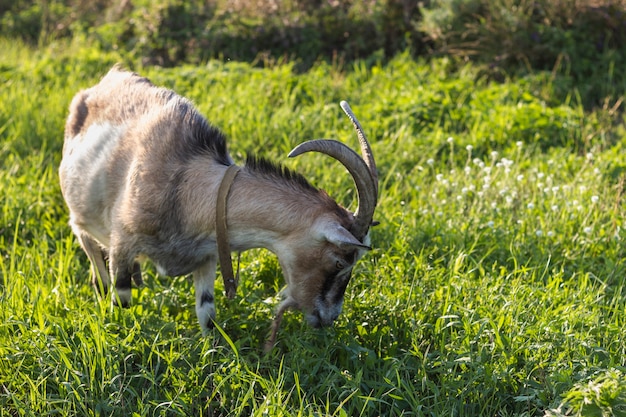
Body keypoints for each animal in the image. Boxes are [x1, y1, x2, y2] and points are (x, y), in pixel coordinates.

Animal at [59, 66, 376, 344]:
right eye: (340, 261)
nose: (329, 318)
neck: (190, 190)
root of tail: (101, 83)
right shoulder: (123, 244)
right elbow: (122, 298)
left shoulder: (207, 256)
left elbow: (207, 310)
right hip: (80, 220)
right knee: (94, 259)